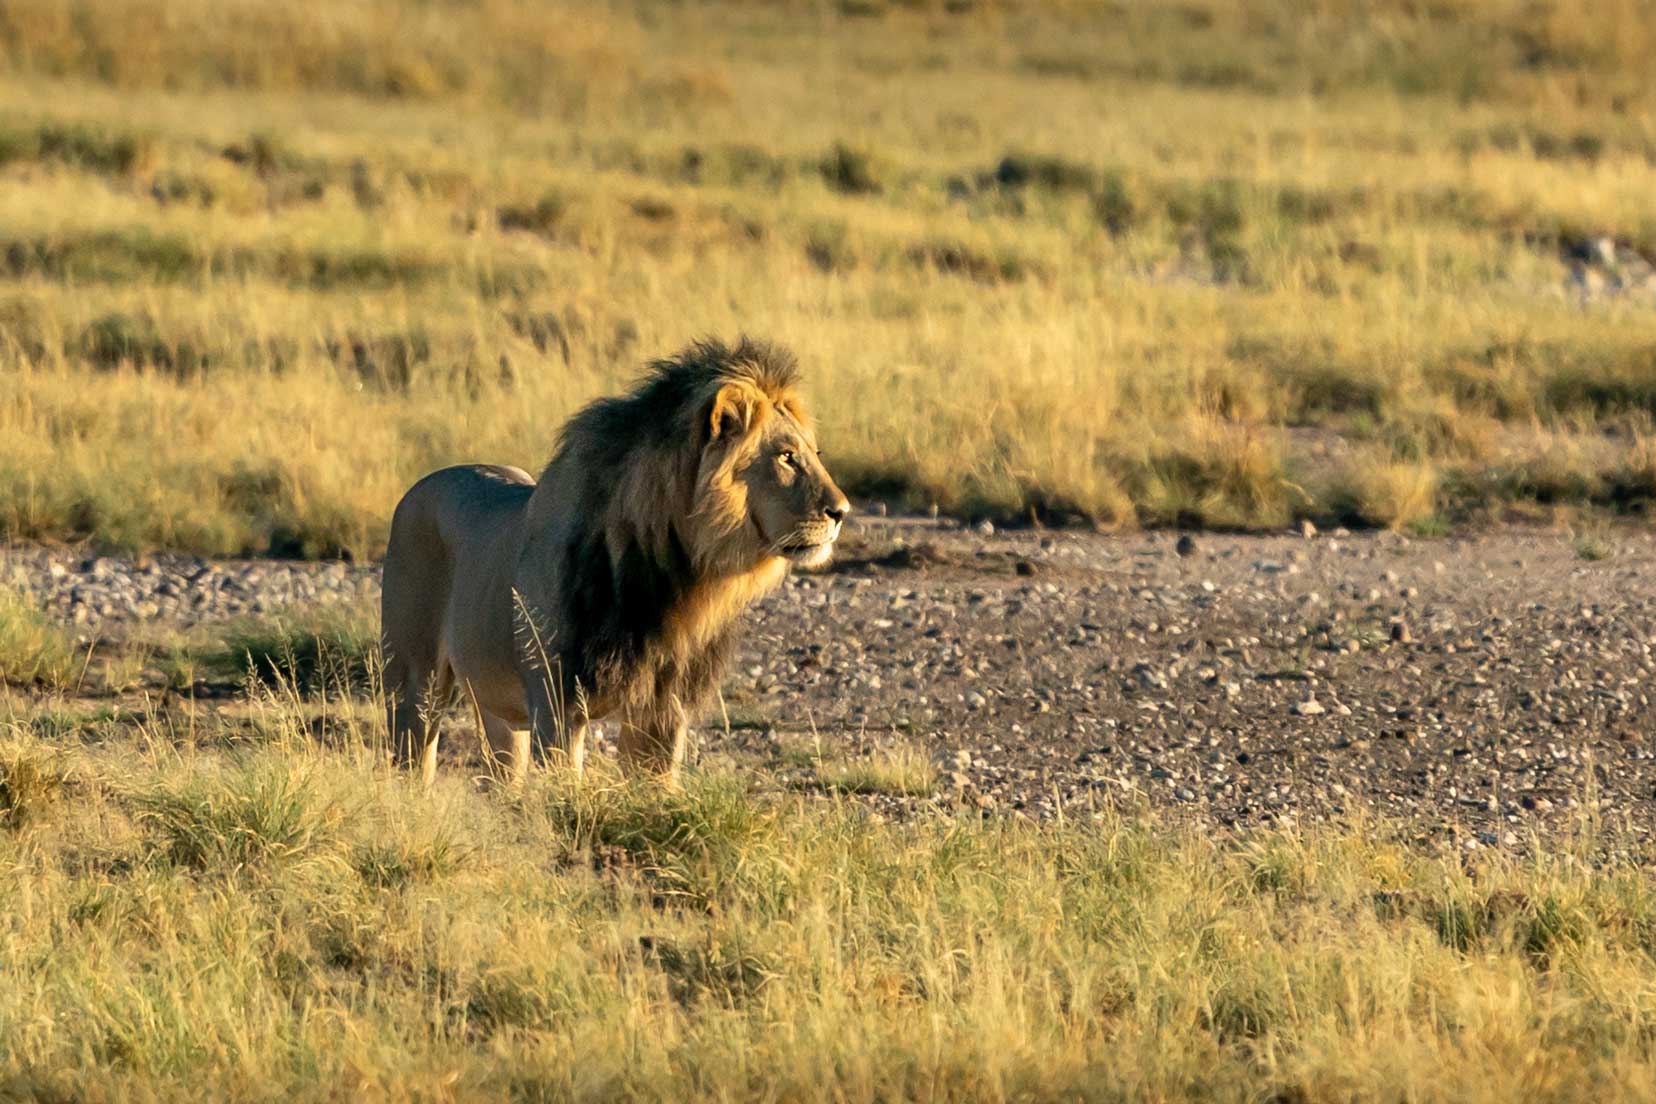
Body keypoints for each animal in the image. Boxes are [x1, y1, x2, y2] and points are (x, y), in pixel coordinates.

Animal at [379, 337, 847, 784]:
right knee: (413, 759)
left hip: (498, 707)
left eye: (815, 453)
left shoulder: (662, 708)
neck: (680, 574)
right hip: (414, 684)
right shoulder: (558, 703)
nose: (841, 511)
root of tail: (419, 486)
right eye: (786, 456)